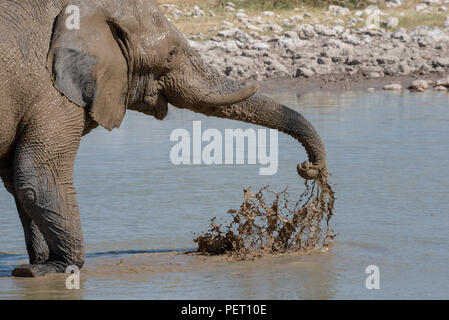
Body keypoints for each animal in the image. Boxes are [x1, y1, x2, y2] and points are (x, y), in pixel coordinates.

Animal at [0, 0, 328, 278]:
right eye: (171, 55)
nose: (308, 167)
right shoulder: (53, 93)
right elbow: (36, 175)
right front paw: (59, 269)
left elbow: (20, 182)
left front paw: (35, 269)